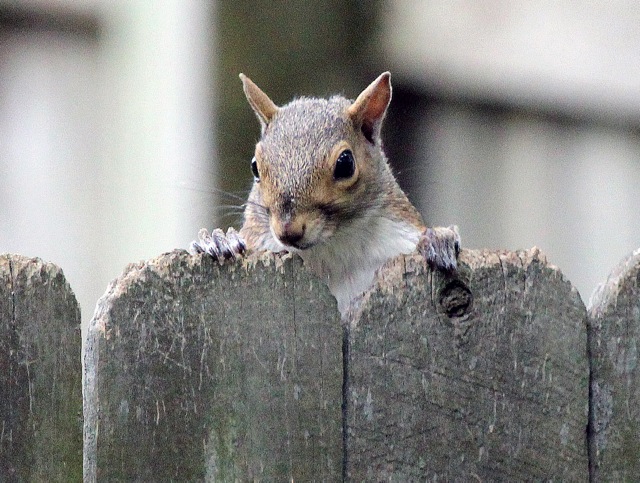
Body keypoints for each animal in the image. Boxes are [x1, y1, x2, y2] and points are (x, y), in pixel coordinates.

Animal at [190, 72, 460, 316]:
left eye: (345, 163)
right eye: (255, 166)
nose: (288, 231)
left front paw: (440, 239)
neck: (332, 244)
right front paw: (218, 242)